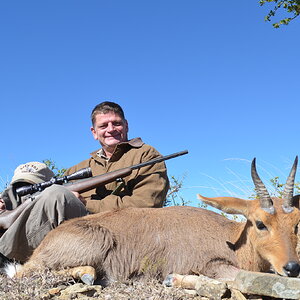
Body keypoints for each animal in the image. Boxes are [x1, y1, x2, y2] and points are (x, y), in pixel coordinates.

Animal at [2, 157, 300, 286]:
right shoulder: (211, 265)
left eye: (296, 223)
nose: (292, 267)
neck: (232, 239)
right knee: (25, 272)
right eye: (260, 223)